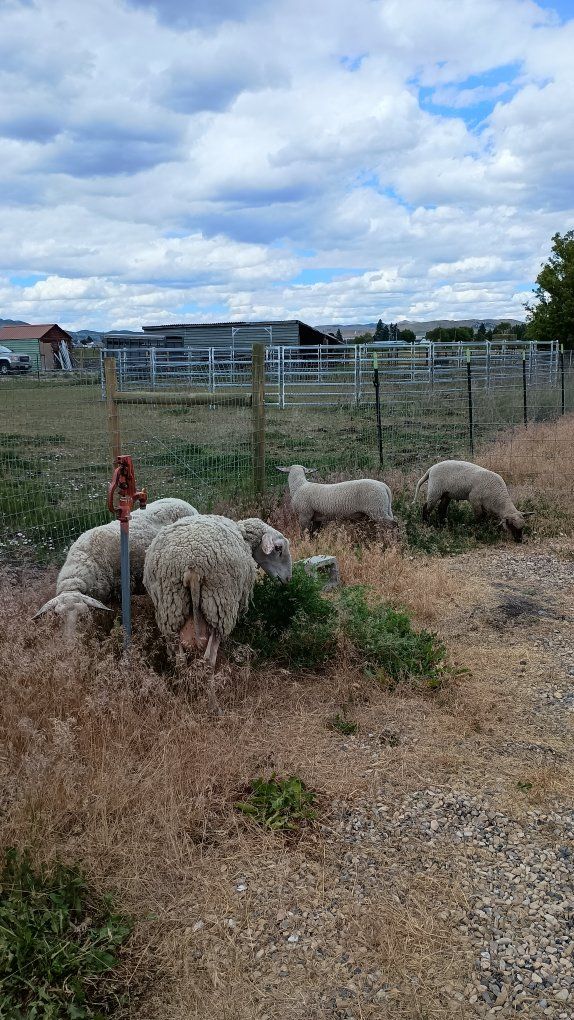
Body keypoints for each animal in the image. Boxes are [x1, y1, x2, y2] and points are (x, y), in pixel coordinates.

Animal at [143, 514, 292, 667]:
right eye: (278, 548)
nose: (288, 578)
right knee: (209, 656)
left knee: (180, 656)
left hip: (170, 601)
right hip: (219, 600)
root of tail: (192, 565)